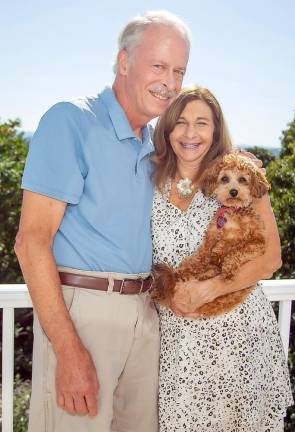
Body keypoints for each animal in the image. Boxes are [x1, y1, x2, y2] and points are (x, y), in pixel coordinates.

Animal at [154, 152, 272, 318]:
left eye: (243, 179)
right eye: (224, 178)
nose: (233, 191)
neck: (234, 212)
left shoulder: (258, 243)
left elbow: (237, 252)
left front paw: (228, 271)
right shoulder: (210, 240)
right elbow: (199, 258)